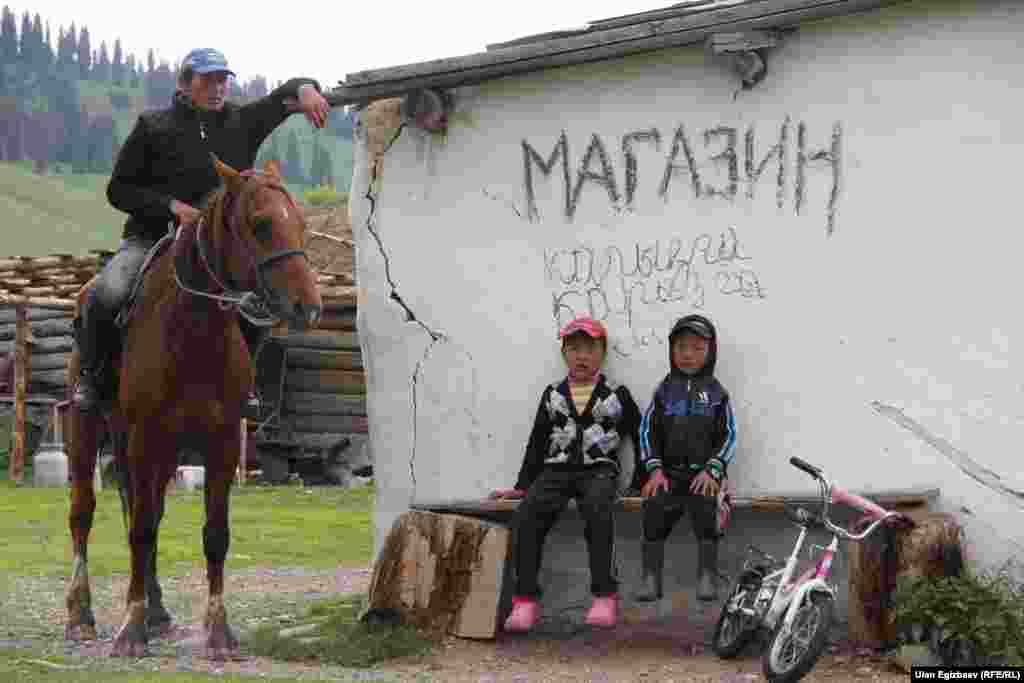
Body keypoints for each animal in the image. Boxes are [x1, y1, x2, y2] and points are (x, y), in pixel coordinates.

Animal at [65, 158, 319, 655]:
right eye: (261, 224)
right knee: (84, 514)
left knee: (141, 512)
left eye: (300, 223)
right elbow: (141, 530)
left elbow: (212, 534)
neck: (191, 331)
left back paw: (157, 611)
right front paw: (130, 630)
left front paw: (218, 631)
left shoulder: (220, 444)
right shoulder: (146, 439)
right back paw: (81, 613)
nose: (309, 306)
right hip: (88, 434)